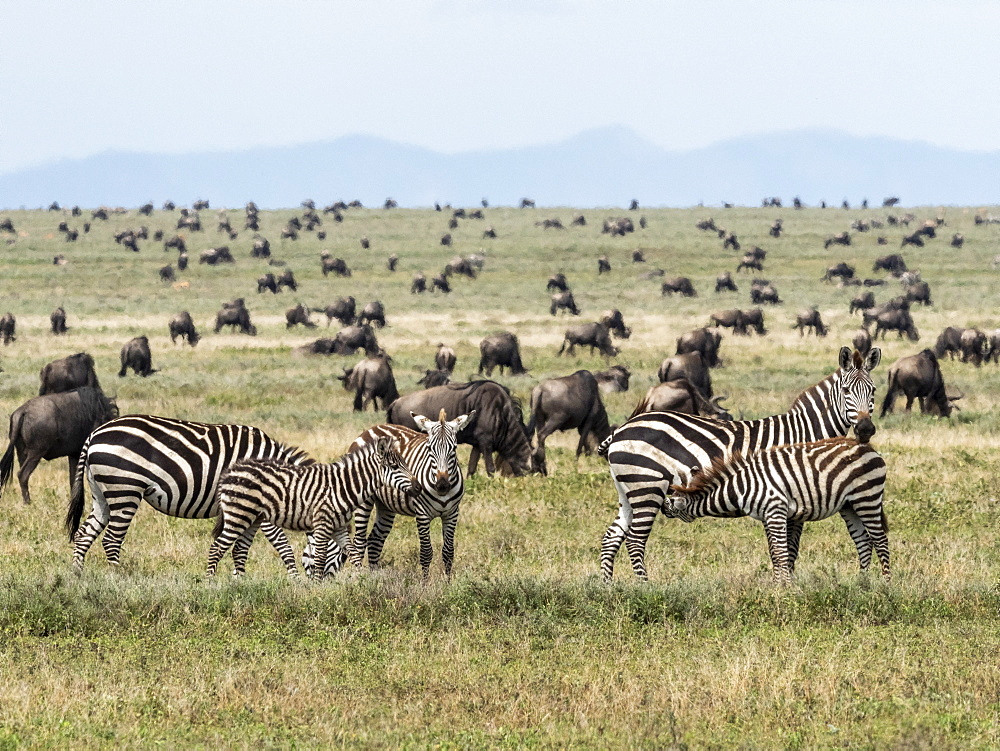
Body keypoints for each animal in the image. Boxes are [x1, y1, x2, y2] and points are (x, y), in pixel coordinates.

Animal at [65, 418, 312, 568]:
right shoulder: (259, 503)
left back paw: (79, 577)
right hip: (125, 490)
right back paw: (116, 578)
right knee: (111, 539)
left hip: (102, 493)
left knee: (84, 534)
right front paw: (295, 583)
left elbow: (241, 549)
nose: (318, 590)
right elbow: (283, 545)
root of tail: (94, 434)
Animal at [209, 434, 416, 580]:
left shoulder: (339, 527)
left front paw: (363, 581)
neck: (344, 486)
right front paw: (317, 588)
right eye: (394, 467)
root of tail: (230, 471)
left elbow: (354, 554)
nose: (418, 488)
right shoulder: (322, 524)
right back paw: (210, 583)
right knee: (217, 548)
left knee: (238, 549)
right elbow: (320, 558)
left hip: (252, 518)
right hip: (238, 515)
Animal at [596, 346, 880, 580]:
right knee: (635, 539)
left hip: (628, 490)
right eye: (846, 391)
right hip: (647, 485)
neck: (805, 431)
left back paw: (609, 586)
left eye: (874, 391)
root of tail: (622, 429)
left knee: (612, 537)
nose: (865, 429)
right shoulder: (795, 493)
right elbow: (789, 547)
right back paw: (645, 586)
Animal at [664, 434, 892, 588]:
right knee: (863, 541)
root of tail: (869, 448)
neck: (741, 486)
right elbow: (774, 552)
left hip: (867, 497)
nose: (663, 508)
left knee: (880, 540)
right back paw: (861, 584)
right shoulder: (766, 516)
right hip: (849, 505)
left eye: (671, 501)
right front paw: (776, 585)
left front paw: (786, 588)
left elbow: (782, 553)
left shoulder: (775, 510)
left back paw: (886, 584)